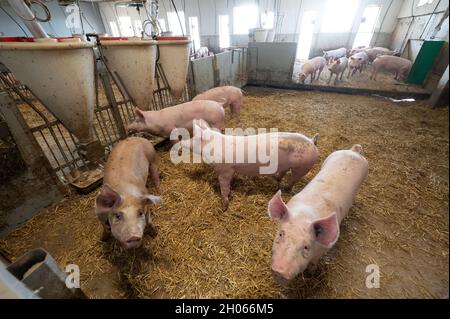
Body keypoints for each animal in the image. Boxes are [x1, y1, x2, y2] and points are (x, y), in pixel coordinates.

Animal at [268, 145, 368, 284]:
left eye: (306, 247)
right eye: (281, 234)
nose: (279, 272)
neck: (304, 217)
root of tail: (354, 151)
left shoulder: (323, 250)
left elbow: (314, 263)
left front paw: (311, 273)